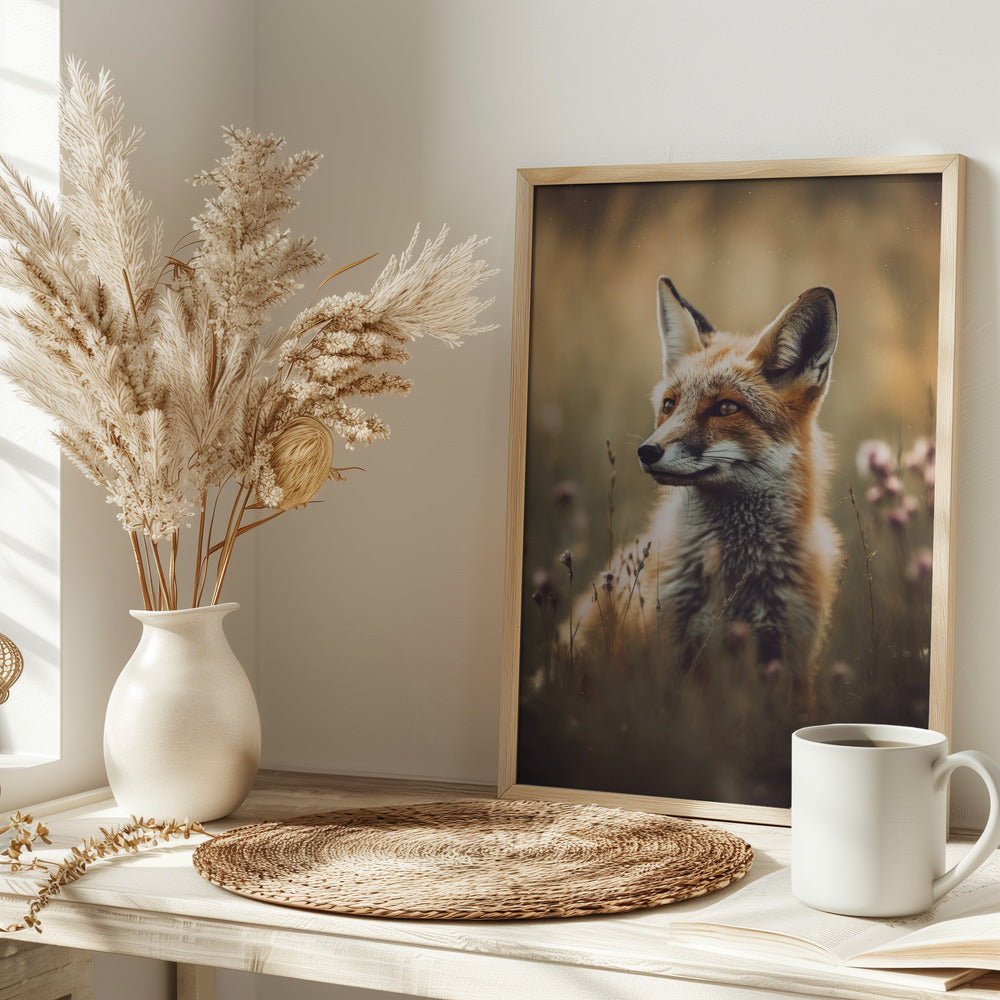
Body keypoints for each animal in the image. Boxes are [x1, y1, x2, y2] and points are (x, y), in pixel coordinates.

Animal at [571, 277, 843, 676]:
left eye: (726, 408)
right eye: (669, 405)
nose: (646, 452)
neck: (736, 578)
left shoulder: (791, 658)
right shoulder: (666, 650)